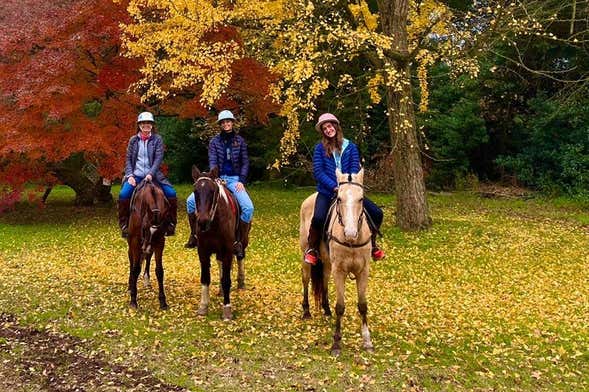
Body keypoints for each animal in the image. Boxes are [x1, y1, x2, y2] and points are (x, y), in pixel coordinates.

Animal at [126, 179, 168, 310]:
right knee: (131, 261)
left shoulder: (159, 242)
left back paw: (146, 280)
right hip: (132, 244)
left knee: (148, 258)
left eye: (158, 231)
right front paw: (133, 300)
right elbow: (135, 269)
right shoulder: (135, 242)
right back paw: (130, 284)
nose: (147, 247)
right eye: (144, 228)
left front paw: (163, 301)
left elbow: (159, 271)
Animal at [192, 164, 245, 320]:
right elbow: (205, 278)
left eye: (213, 191)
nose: (202, 222)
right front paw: (203, 306)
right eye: (195, 191)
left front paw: (227, 309)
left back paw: (241, 281)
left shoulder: (227, 250)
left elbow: (227, 279)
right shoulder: (203, 251)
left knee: (241, 257)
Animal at [298, 168, 372, 356]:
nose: (351, 233)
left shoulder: (363, 271)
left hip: (327, 263)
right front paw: (336, 343)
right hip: (306, 256)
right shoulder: (340, 271)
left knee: (324, 279)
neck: (352, 242)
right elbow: (340, 306)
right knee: (306, 279)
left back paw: (326, 309)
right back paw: (306, 311)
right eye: (339, 199)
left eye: (361, 198)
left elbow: (362, 305)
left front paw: (367, 341)